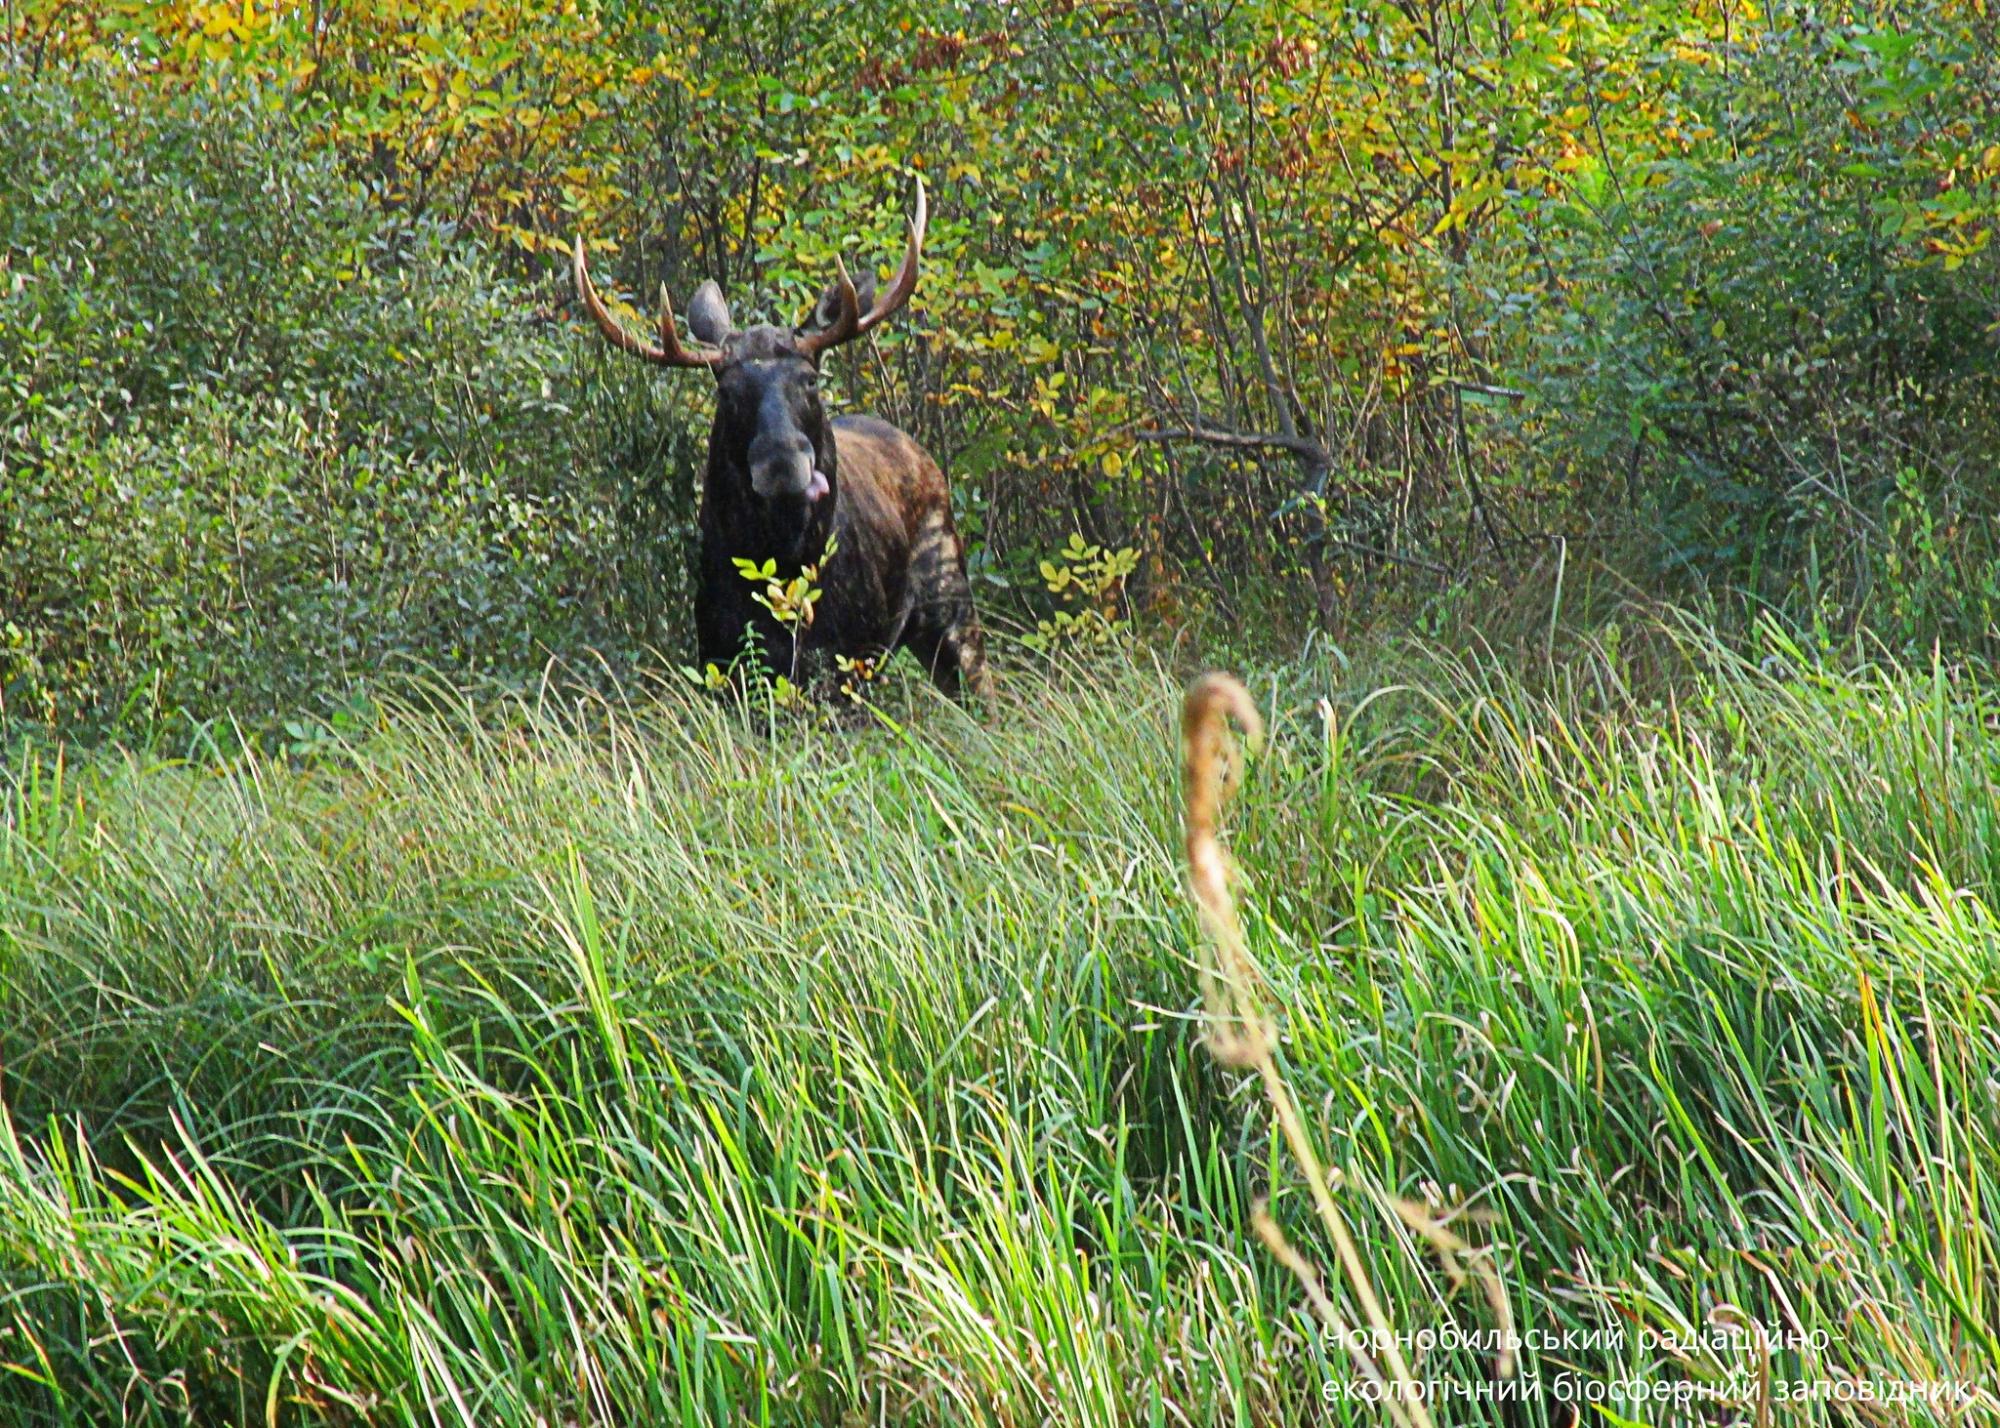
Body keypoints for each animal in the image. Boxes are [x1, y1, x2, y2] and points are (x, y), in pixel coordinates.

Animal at [572, 181, 992, 704]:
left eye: (810, 379)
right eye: (727, 392)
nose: (781, 464)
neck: (787, 564)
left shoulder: (849, 660)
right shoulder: (723, 660)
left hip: (950, 599)